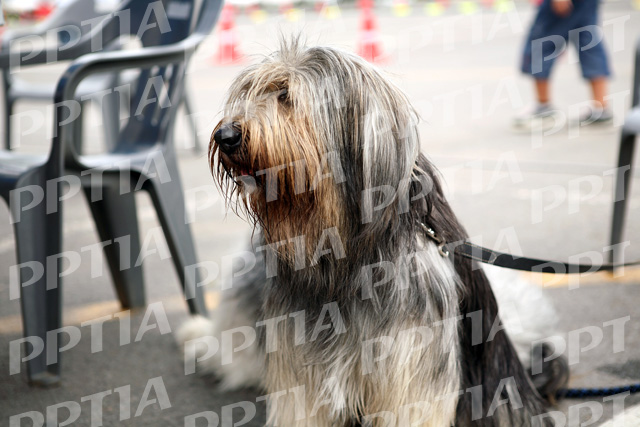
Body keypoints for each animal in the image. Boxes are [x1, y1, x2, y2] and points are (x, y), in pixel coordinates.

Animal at [176, 41, 568, 427]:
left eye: (285, 95)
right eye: (247, 93)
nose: (225, 135)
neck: (343, 253)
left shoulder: (412, 368)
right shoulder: (300, 366)